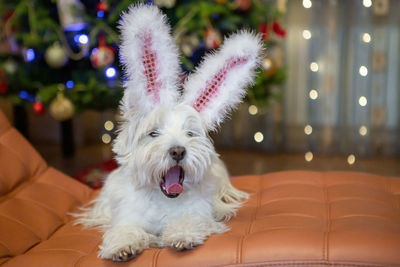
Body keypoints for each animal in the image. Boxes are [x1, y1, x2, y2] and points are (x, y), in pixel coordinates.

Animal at [76, 4, 262, 262]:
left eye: (190, 134)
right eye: (153, 133)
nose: (177, 151)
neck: (163, 198)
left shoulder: (199, 212)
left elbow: (189, 220)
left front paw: (181, 236)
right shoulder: (128, 216)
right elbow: (125, 229)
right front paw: (122, 246)